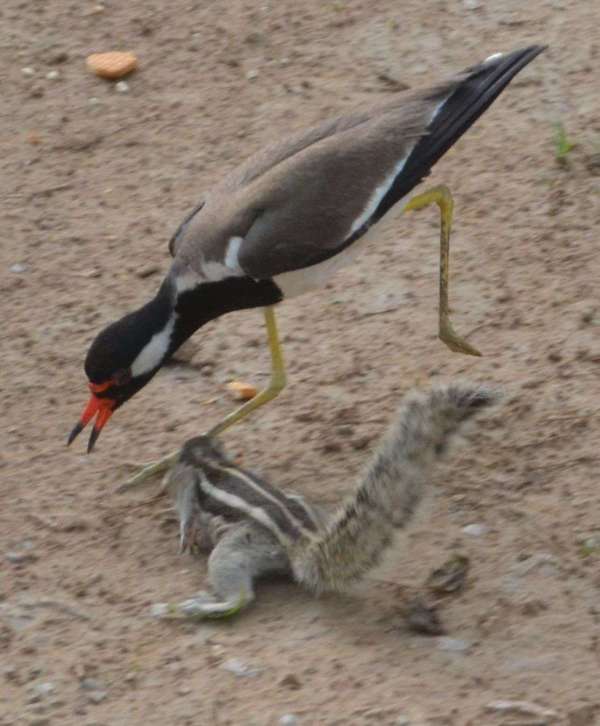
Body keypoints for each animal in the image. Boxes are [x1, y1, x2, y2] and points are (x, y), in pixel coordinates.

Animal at [152, 382, 498, 619]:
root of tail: (305, 543)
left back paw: (199, 607)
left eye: (175, 462)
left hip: (237, 547)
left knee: (241, 596)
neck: (209, 460)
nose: (183, 448)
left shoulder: (188, 490)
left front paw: (185, 536)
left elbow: (187, 513)